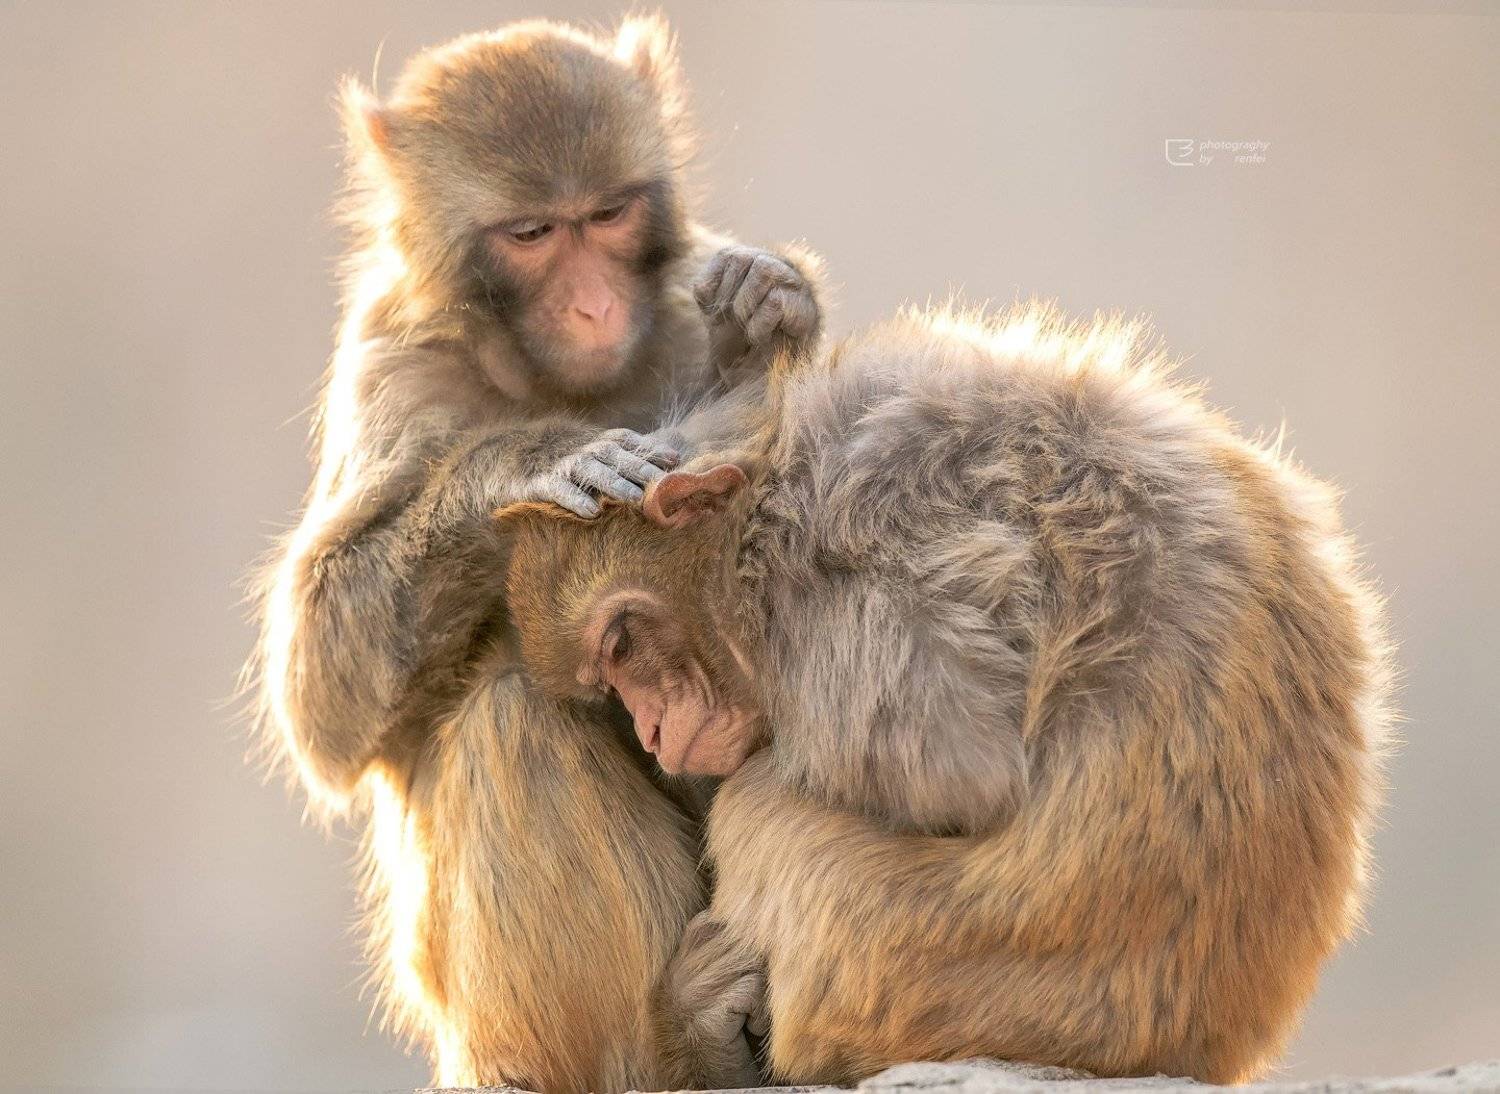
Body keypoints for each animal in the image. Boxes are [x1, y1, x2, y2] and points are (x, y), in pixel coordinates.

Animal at [248, 16, 823, 1092]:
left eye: (605, 215)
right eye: (531, 235)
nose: (594, 307)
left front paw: (759, 318)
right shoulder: (390, 366)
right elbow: (322, 708)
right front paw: (531, 462)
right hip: (479, 1018)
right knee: (512, 717)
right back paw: (679, 1043)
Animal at [500, 302, 1391, 1088]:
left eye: (623, 644)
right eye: (609, 678)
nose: (652, 727)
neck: (766, 484)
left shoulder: (834, 594)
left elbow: (963, 772)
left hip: (914, 975)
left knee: (758, 805)